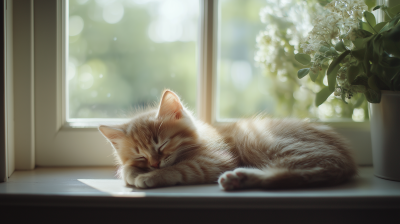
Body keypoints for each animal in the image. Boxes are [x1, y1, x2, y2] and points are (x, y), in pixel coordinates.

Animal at [99, 89, 356, 191]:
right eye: (140, 155)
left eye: (162, 144)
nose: (153, 163)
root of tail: (346, 161)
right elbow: (127, 168)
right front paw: (133, 171)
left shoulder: (216, 160)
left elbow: (181, 168)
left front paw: (150, 177)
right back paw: (240, 180)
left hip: (268, 142)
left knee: (298, 173)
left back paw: (241, 178)